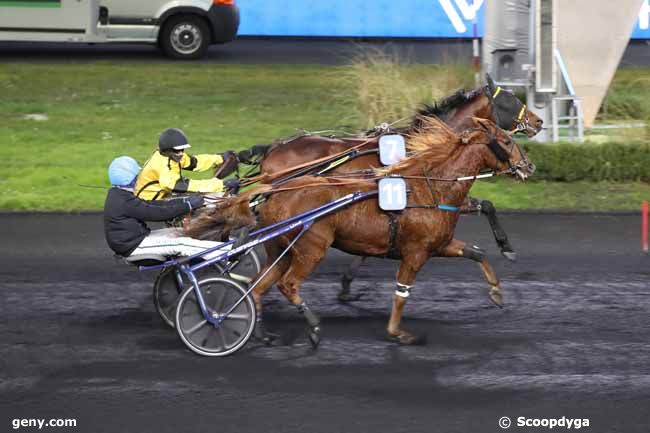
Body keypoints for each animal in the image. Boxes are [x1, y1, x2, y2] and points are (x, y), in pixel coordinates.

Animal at [194, 116, 536, 346]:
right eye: (507, 142)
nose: (529, 166)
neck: (429, 187)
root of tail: (275, 188)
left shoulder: (439, 244)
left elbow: (476, 252)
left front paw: (496, 291)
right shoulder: (416, 253)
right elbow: (402, 292)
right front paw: (397, 333)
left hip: (281, 248)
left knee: (258, 286)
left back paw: (262, 331)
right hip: (311, 248)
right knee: (288, 285)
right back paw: (313, 326)